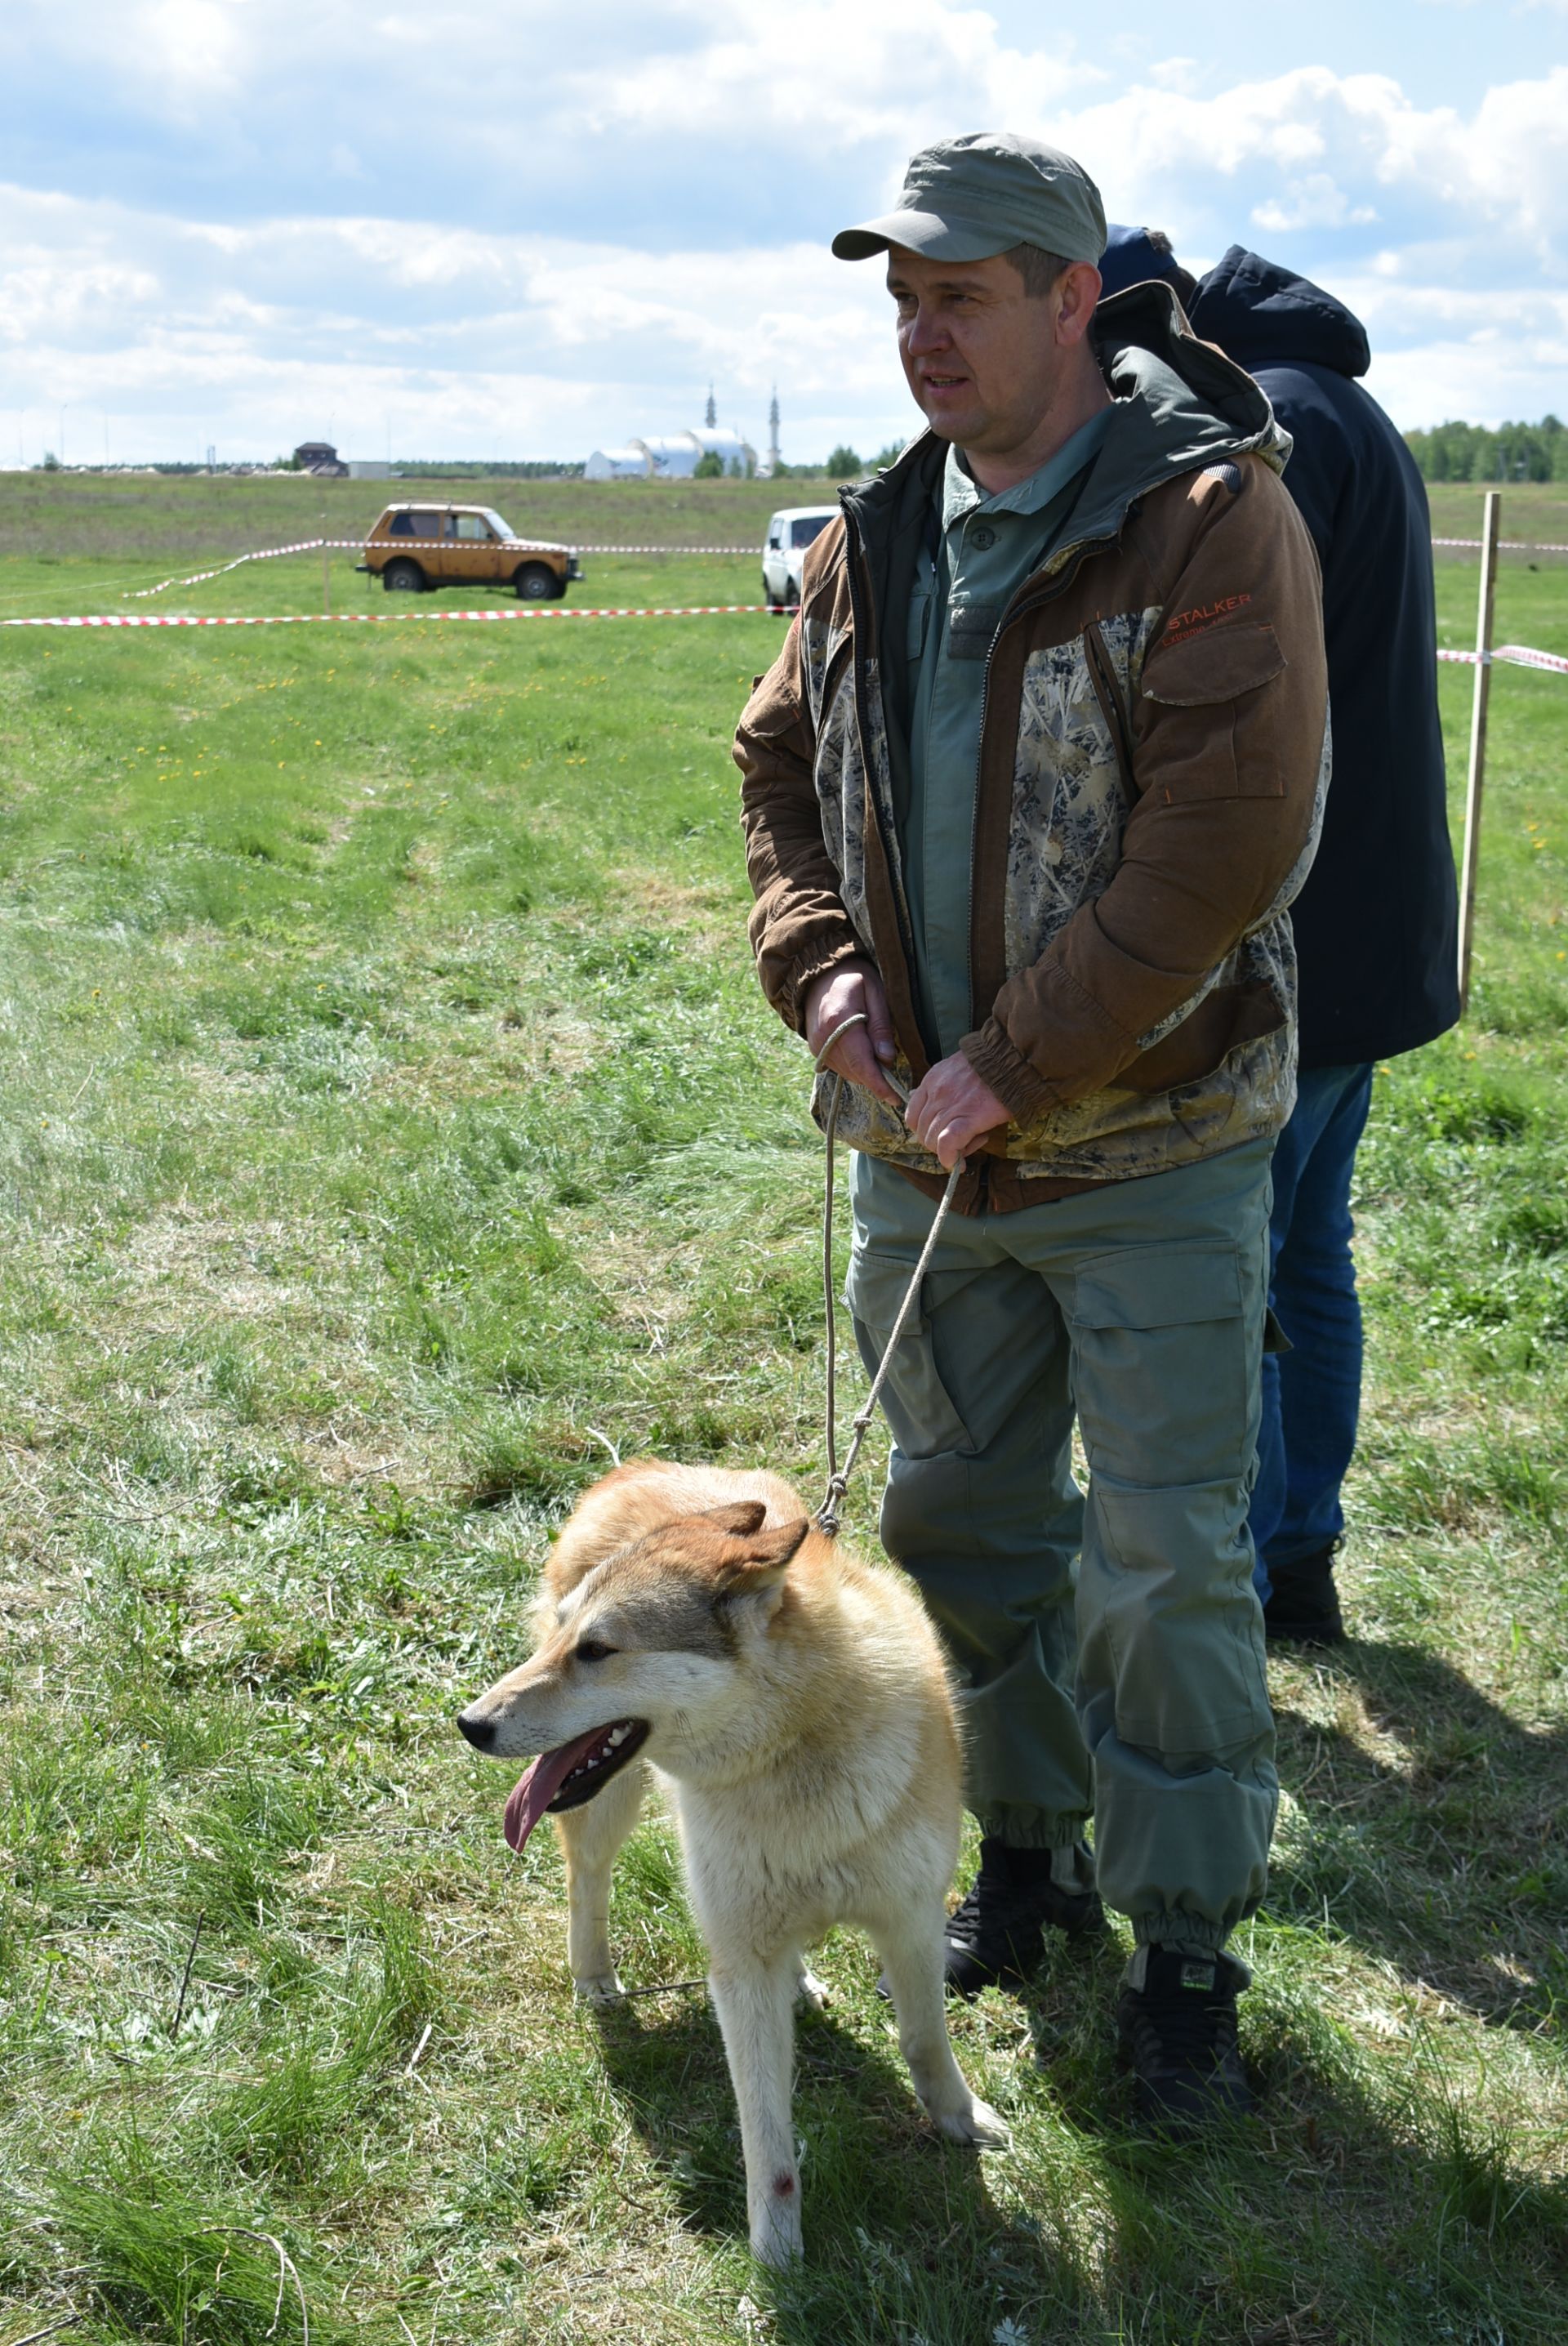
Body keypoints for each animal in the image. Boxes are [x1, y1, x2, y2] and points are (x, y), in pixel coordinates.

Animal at [459, 1454, 1008, 2261]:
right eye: (563, 1641)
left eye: (597, 1651)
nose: (469, 1724)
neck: (797, 1747)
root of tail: (637, 1468)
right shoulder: (738, 1966)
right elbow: (766, 2130)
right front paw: (779, 2258)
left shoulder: (911, 1922)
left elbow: (923, 2039)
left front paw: (959, 2120)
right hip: (605, 1812)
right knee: (587, 1882)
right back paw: (595, 1978)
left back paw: (800, 1983)